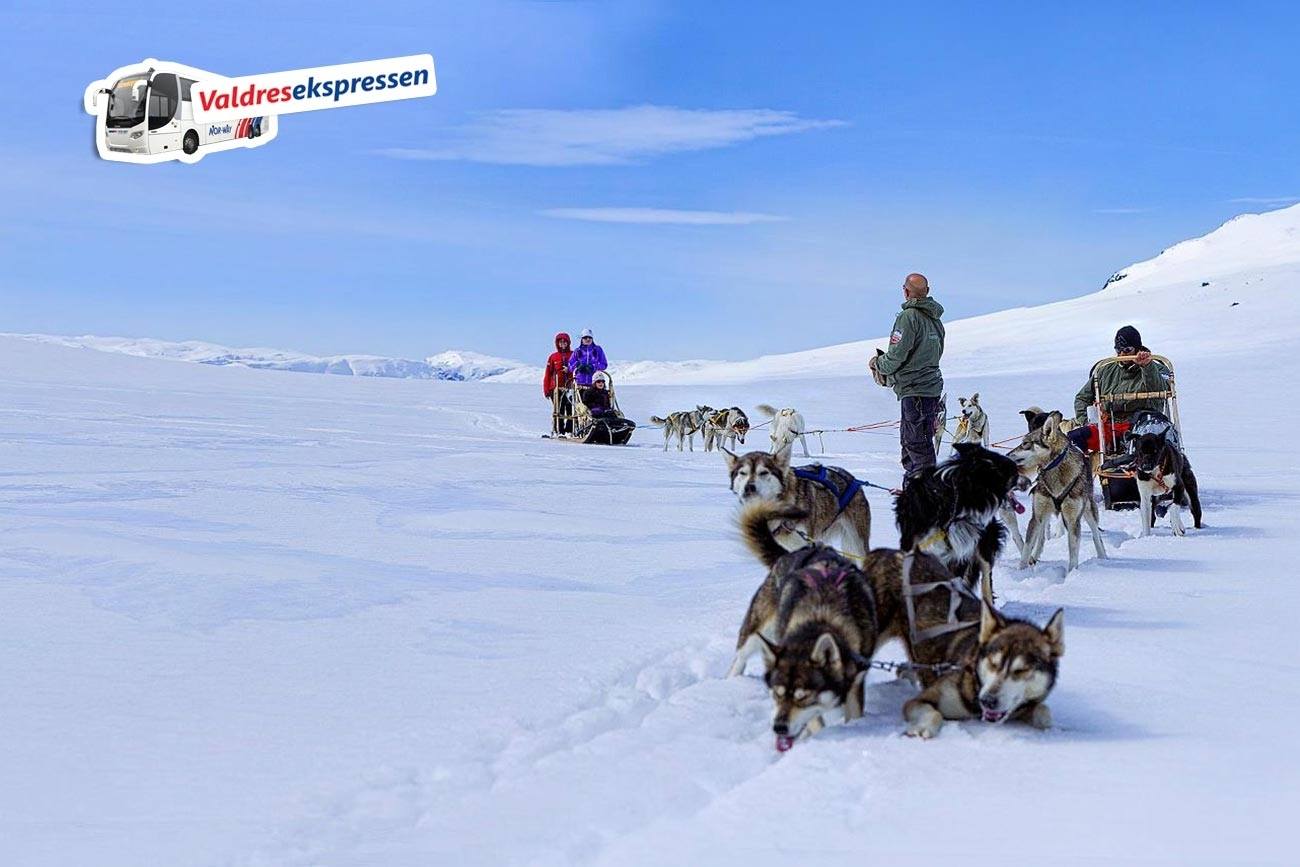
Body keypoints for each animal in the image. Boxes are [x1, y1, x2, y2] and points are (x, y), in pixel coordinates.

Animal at [904, 603, 1066, 738]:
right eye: (993, 663)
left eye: (1021, 670)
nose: (988, 701)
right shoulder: (918, 701)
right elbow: (934, 713)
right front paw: (924, 727)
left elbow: (1044, 711)